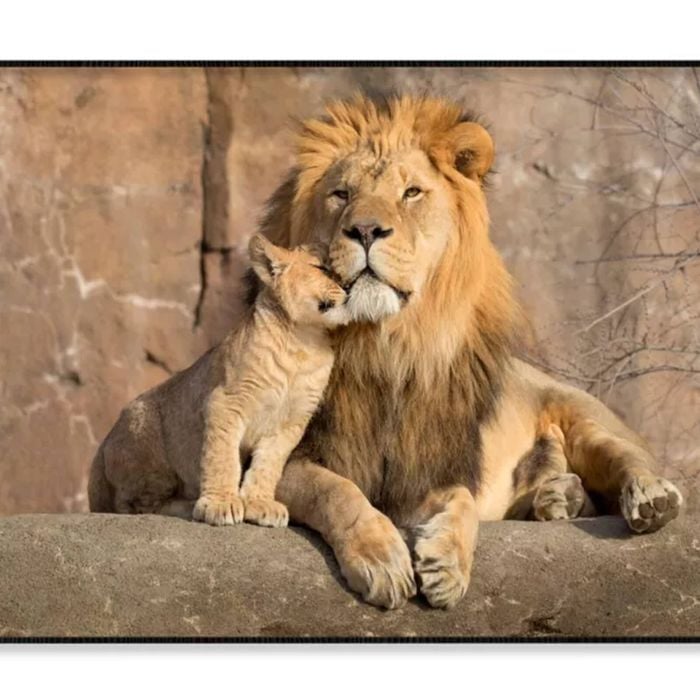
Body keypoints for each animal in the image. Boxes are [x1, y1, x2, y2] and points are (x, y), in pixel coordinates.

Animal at [89, 94, 683, 611]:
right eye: (341, 194)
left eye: (412, 193)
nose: (366, 230)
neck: (387, 348)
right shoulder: (304, 456)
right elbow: (340, 493)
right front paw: (383, 560)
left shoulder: (429, 467)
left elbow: (462, 504)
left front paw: (446, 565)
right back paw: (557, 498)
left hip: (581, 412)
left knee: (625, 456)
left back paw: (644, 498)